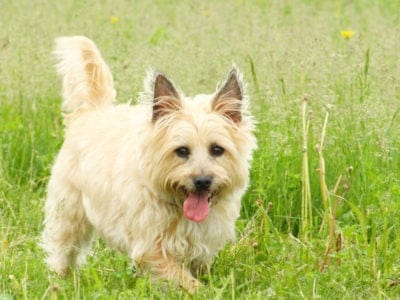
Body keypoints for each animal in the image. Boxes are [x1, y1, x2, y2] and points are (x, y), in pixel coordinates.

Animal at [40, 35, 256, 292]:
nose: (202, 181)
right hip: (69, 212)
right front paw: (204, 292)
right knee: (62, 249)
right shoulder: (152, 247)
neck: (177, 206)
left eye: (217, 149)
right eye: (182, 151)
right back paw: (59, 281)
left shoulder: (203, 243)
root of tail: (92, 111)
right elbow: (184, 279)